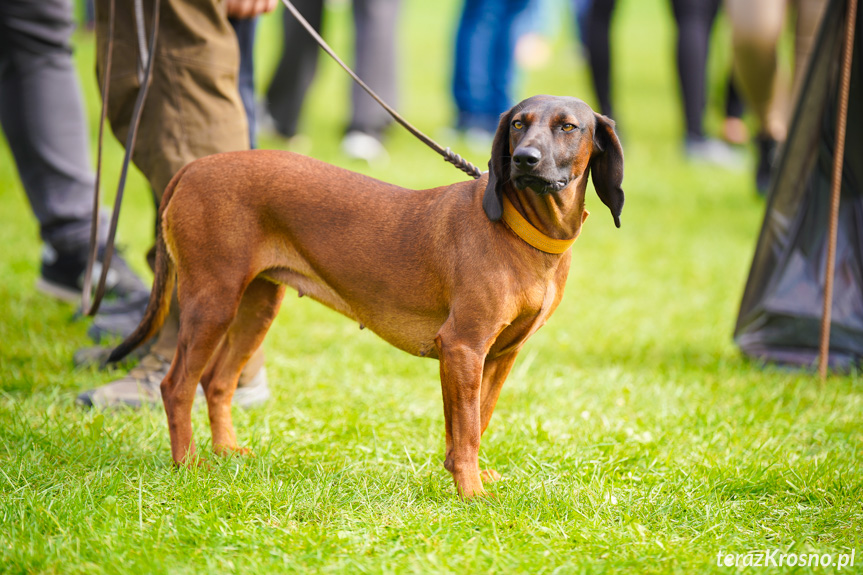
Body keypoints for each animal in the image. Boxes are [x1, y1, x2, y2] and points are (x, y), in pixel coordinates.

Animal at [109, 95, 620, 500]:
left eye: (568, 126)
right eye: (517, 123)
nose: (525, 159)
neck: (523, 232)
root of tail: (192, 168)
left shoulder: (497, 355)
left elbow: (476, 421)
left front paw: (468, 477)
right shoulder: (463, 346)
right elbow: (469, 431)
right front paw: (471, 493)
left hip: (256, 305)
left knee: (217, 382)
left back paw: (227, 451)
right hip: (212, 302)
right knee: (177, 386)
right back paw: (188, 464)